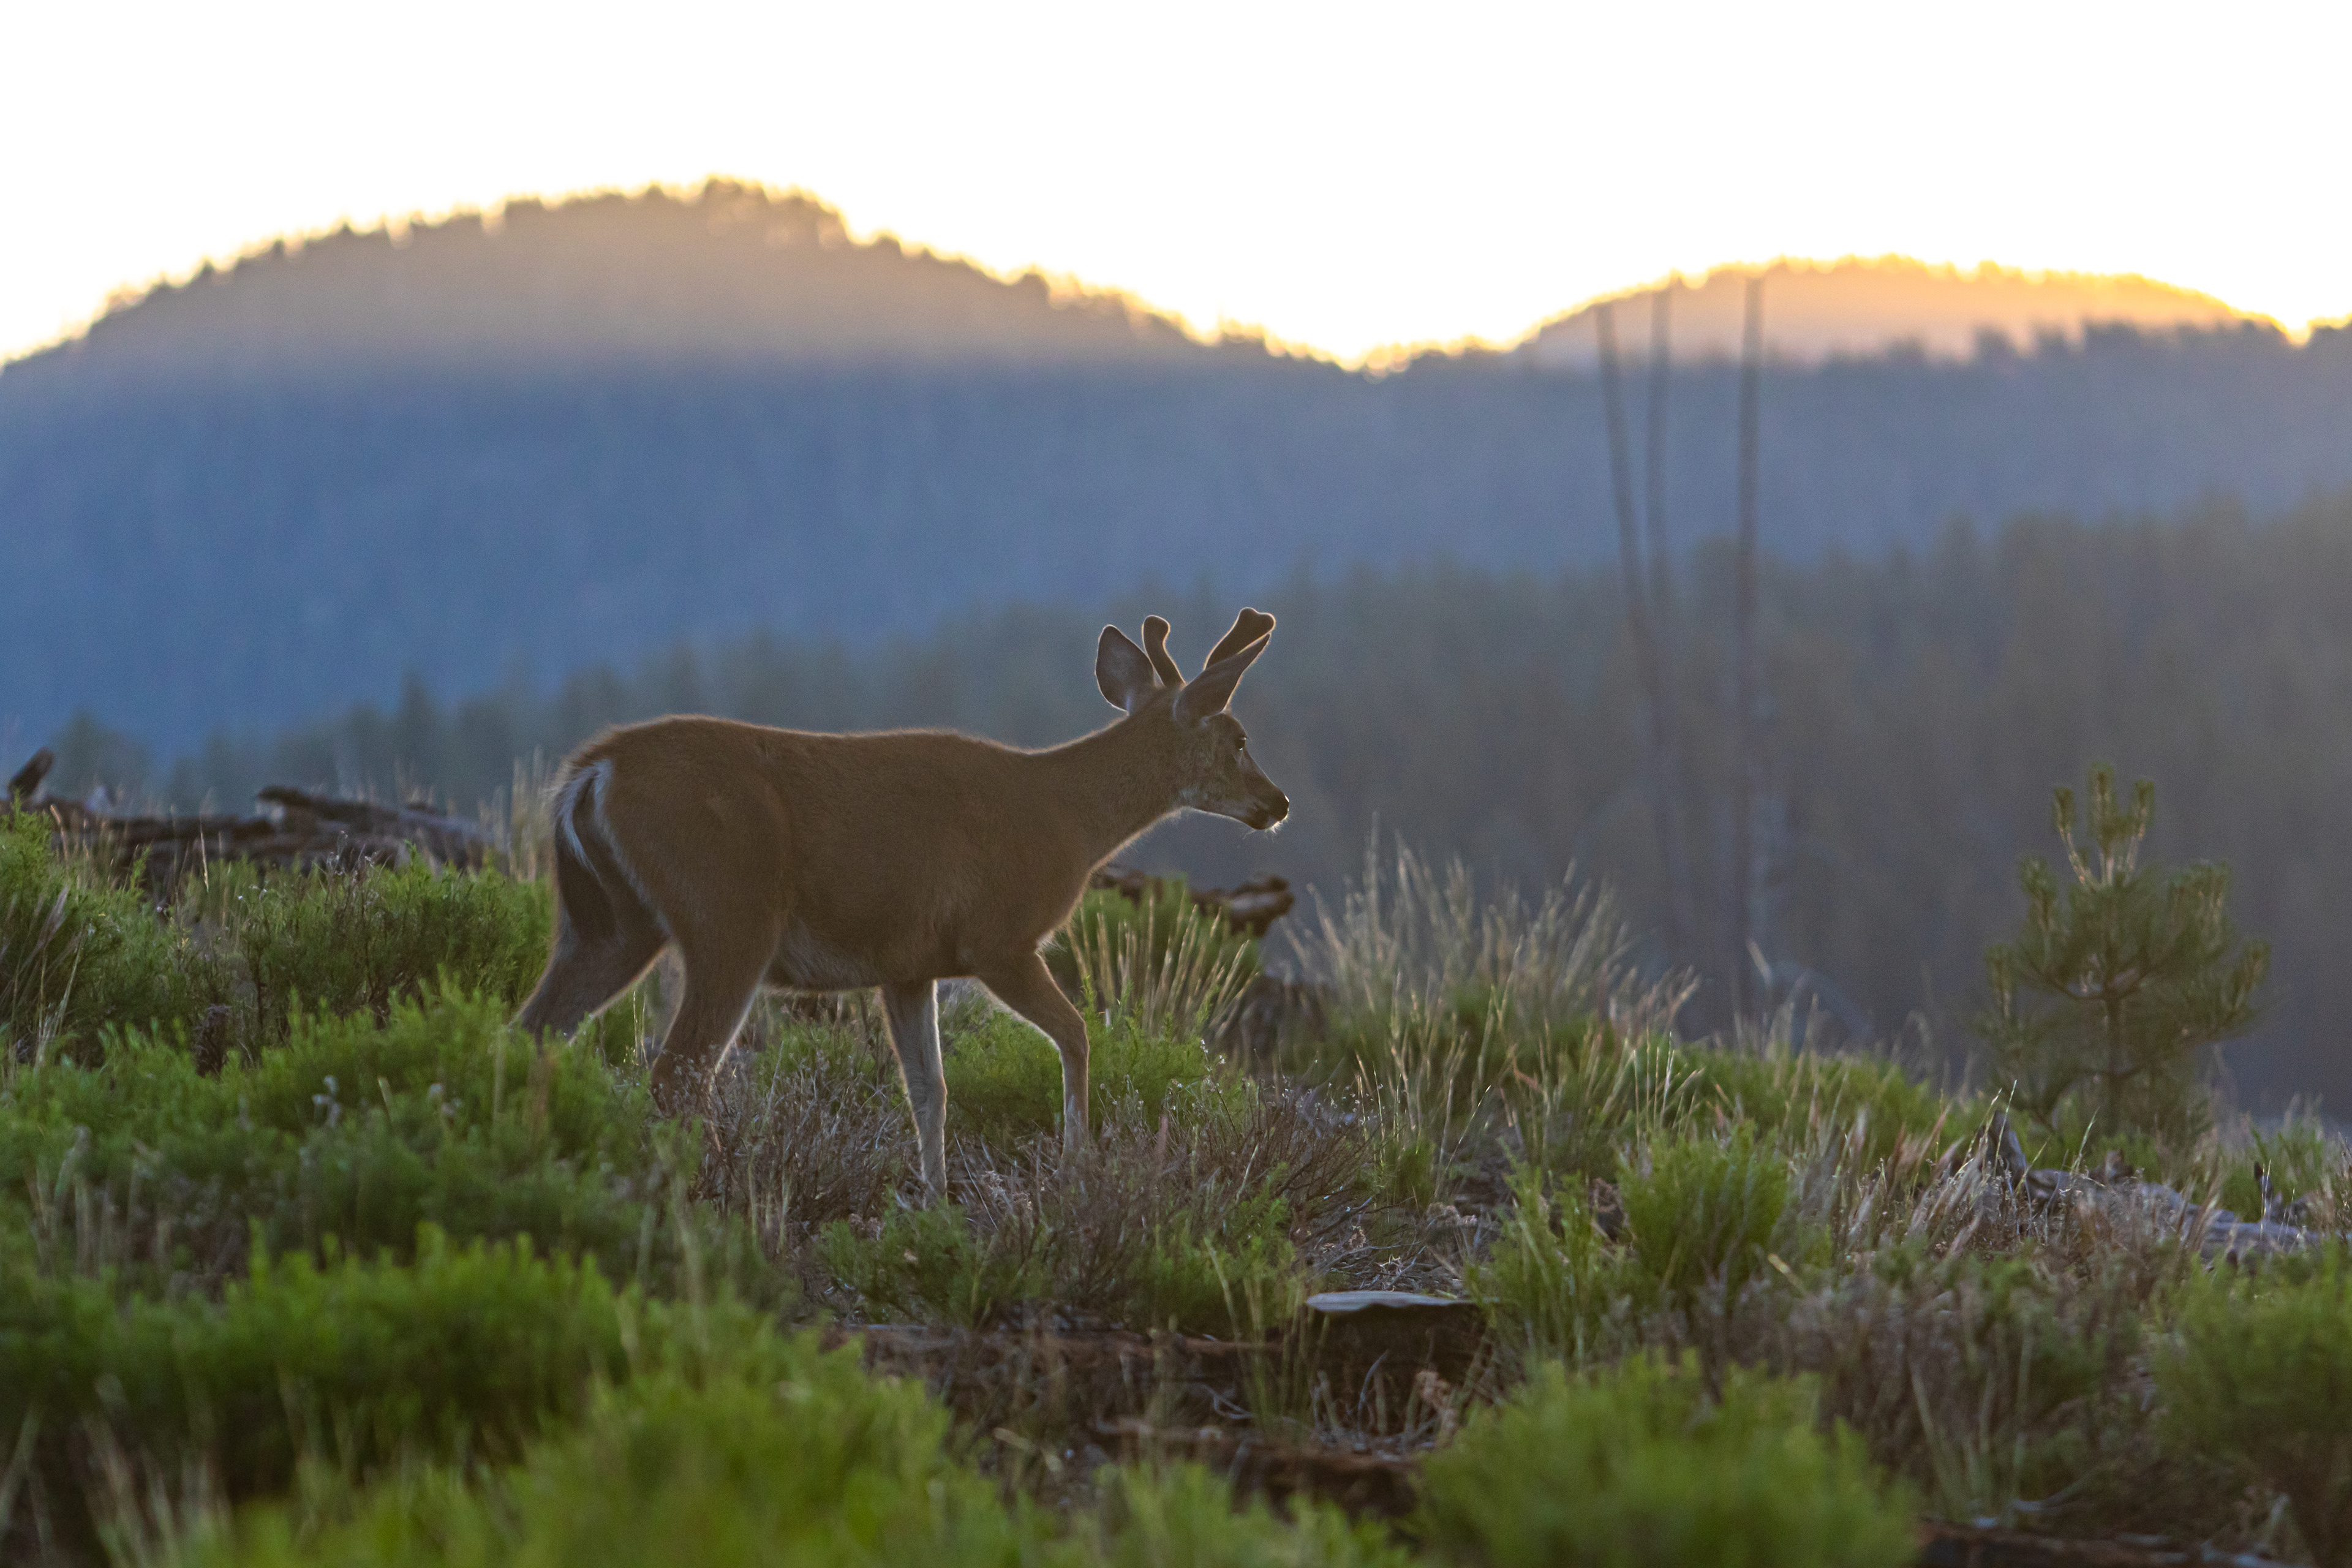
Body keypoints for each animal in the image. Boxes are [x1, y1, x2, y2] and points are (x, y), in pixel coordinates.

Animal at [512, 609, 1288, 1196]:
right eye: (1239, 738)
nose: (1278, 803)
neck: (1065, 819)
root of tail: (592, 774)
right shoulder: (998, 939)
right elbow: (1076, 1035)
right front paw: (1076, 1161)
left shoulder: (908, 966)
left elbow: (930, 1089)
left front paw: (934, 1198)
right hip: (726, 915)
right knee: (677, 1070)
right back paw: (711, 1185)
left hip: (607, 924)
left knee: (535, 1029)